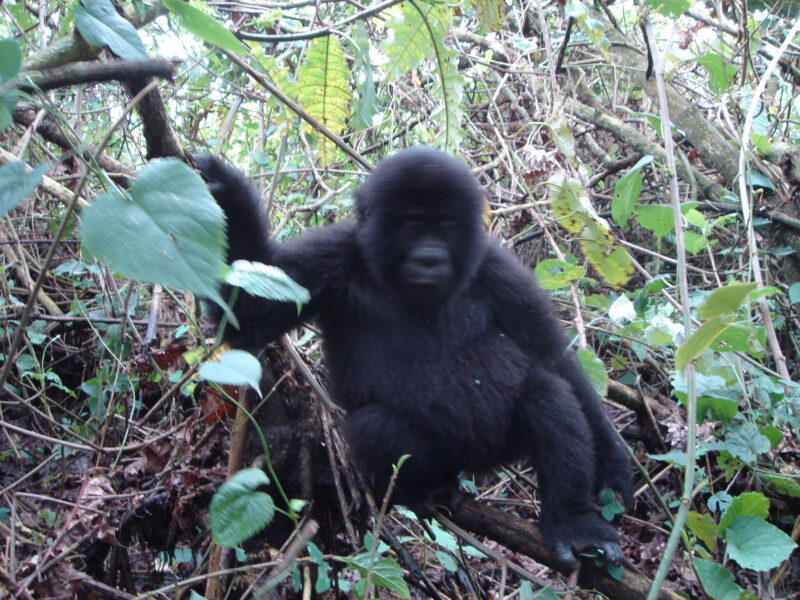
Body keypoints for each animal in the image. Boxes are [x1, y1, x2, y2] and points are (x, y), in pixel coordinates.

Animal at [194, 146, 632, 568]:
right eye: (410, 224)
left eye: (446, 226)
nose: (429, 258)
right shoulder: (333, 254)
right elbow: (247, 314)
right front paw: (227, 193)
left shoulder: (499, 270)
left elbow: (550, 356)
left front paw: (612, 465)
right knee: (378, 424)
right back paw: (426, 487)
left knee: (548, 394)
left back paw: (573, 522)